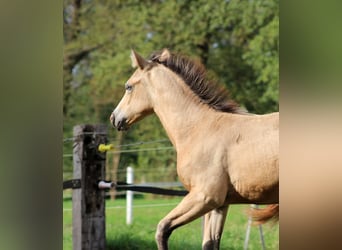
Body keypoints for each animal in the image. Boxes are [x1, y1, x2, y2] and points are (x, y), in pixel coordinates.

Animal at [109, 49, 278, 250]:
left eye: (128, 86)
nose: (114, 118)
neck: (198, 128)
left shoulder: (205, 196)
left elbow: (162, 229)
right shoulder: (220, 205)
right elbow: (209, 243)